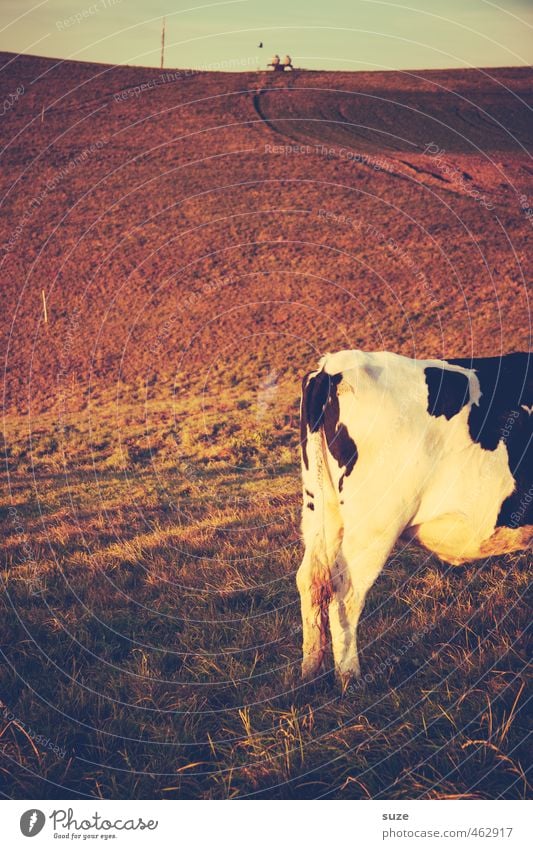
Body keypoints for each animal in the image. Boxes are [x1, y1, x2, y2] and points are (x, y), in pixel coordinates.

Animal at [298, 352, 528, 684]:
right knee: (346, 592)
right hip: (374, 523)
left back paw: (308, 672)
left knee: (311, 581)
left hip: (320, 511)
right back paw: (350, 678)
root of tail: (333, 365)